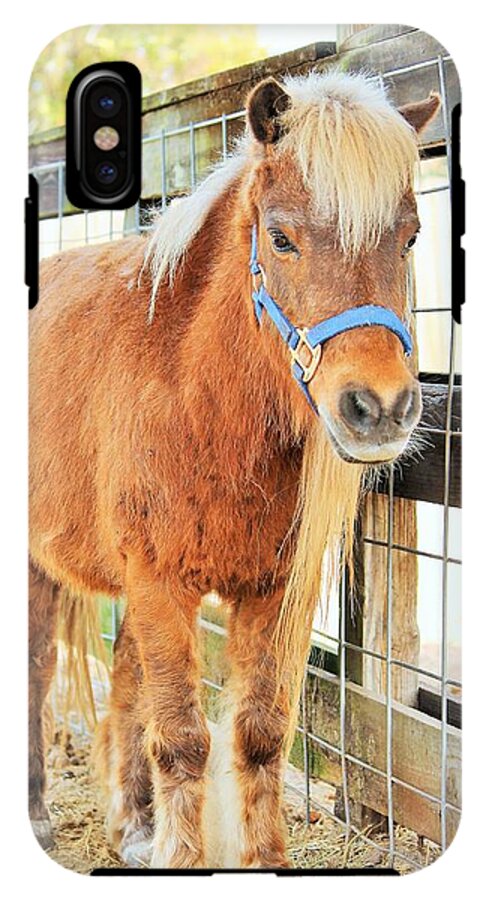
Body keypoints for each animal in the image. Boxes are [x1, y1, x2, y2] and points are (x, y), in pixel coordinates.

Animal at [29, 70, 440, 868]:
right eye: (279, 237)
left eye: (409, 236)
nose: (379, 407)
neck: (198, 398)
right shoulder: (159, 582)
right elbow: (184, 741)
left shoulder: (271, 591)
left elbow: (258, 735)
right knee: (36, 672)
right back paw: (37, 815)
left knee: (124, 680)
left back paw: (133, 826)